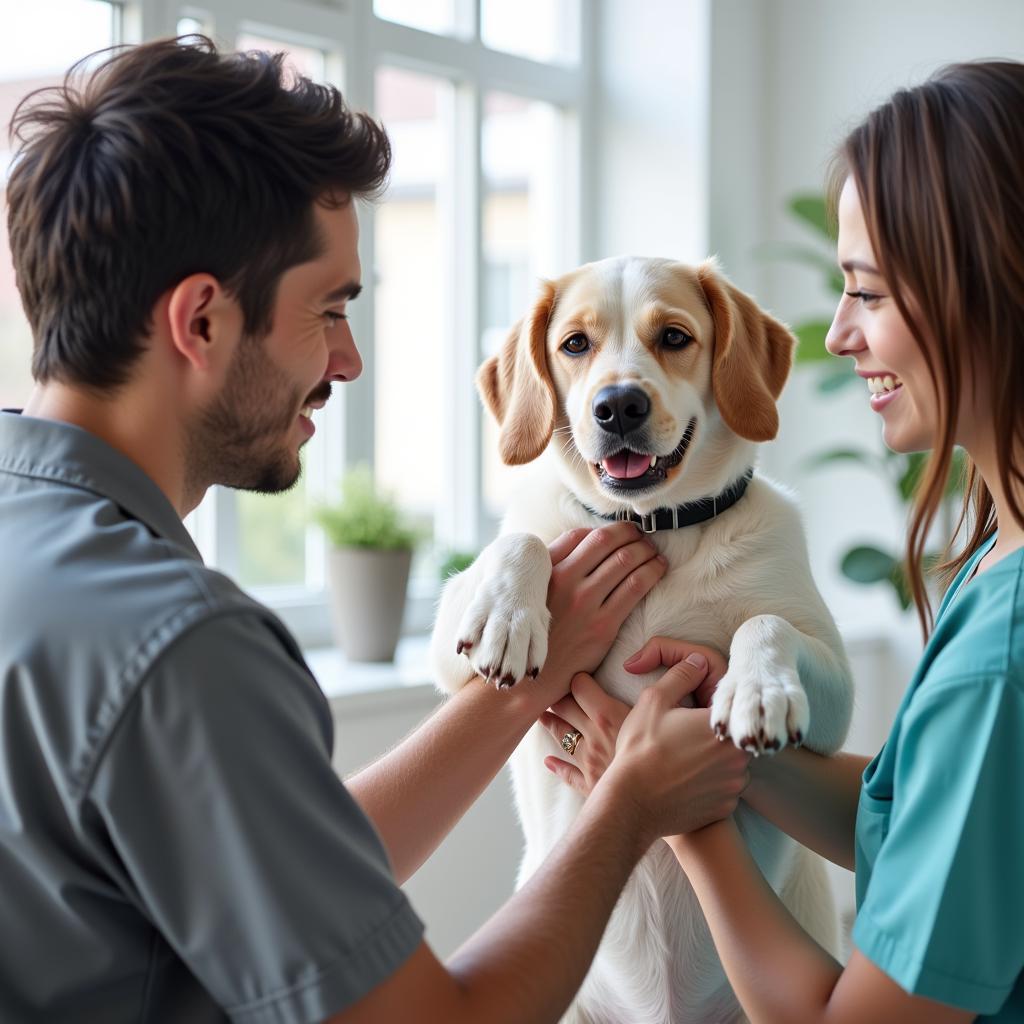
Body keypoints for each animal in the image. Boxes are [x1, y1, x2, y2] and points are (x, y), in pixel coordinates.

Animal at [428, 256, 851, 1024]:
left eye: (675, 336)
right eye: (574, 344)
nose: (617, 405)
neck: (656, 525)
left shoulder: (834, 685)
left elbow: (766, 624)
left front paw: (758, 690)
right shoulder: (446, 641)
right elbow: (523, 541)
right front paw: (510, 617)